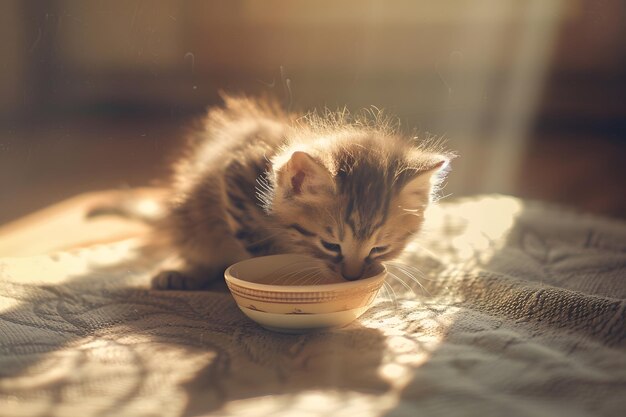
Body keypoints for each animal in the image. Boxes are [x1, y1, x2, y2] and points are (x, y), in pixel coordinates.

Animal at [148, 94, 448, 290]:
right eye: (330, 245)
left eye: (379, 249)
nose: (351, 277)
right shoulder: (237, 170)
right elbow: (256, 243)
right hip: (190, 220)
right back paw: (182, 274)